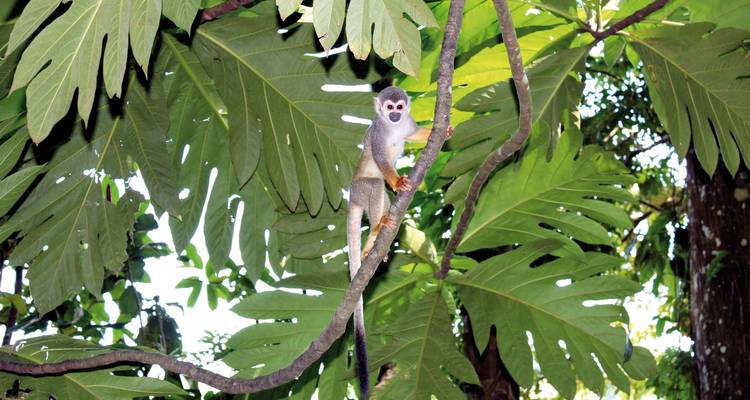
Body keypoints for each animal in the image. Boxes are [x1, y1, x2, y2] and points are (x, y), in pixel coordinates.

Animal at [346, 86, 451, 398]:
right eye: (389, 107)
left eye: (400, 107)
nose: (394, 115)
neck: (391, 127)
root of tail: (350, 199)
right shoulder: (378, 132)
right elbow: (381, 160)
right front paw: (397, 181)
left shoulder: (406, 125)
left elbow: (413, 134)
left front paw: (444, 130)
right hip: (359, 189)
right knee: (375, 185)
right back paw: (376, 229)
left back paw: (373, 243)